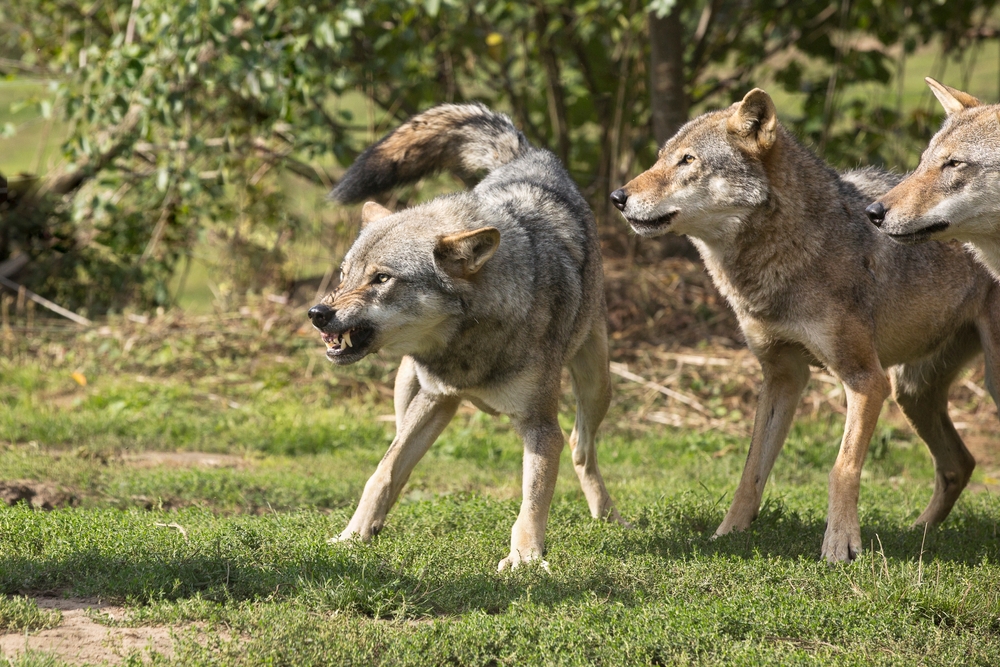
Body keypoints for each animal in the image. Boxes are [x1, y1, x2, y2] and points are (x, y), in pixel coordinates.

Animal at [309, 103, 626, 571]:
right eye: (345, 275)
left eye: (382, 279)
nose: (317, 313)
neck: (468, 345)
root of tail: (528, 155)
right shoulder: (435, 399)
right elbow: (383, 471)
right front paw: (351, 537)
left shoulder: (540, 426)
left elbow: (533, 500)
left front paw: (525, 558)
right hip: (407, 391)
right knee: (399, 456)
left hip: (596, 383)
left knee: (580, 445)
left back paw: (607, 516)